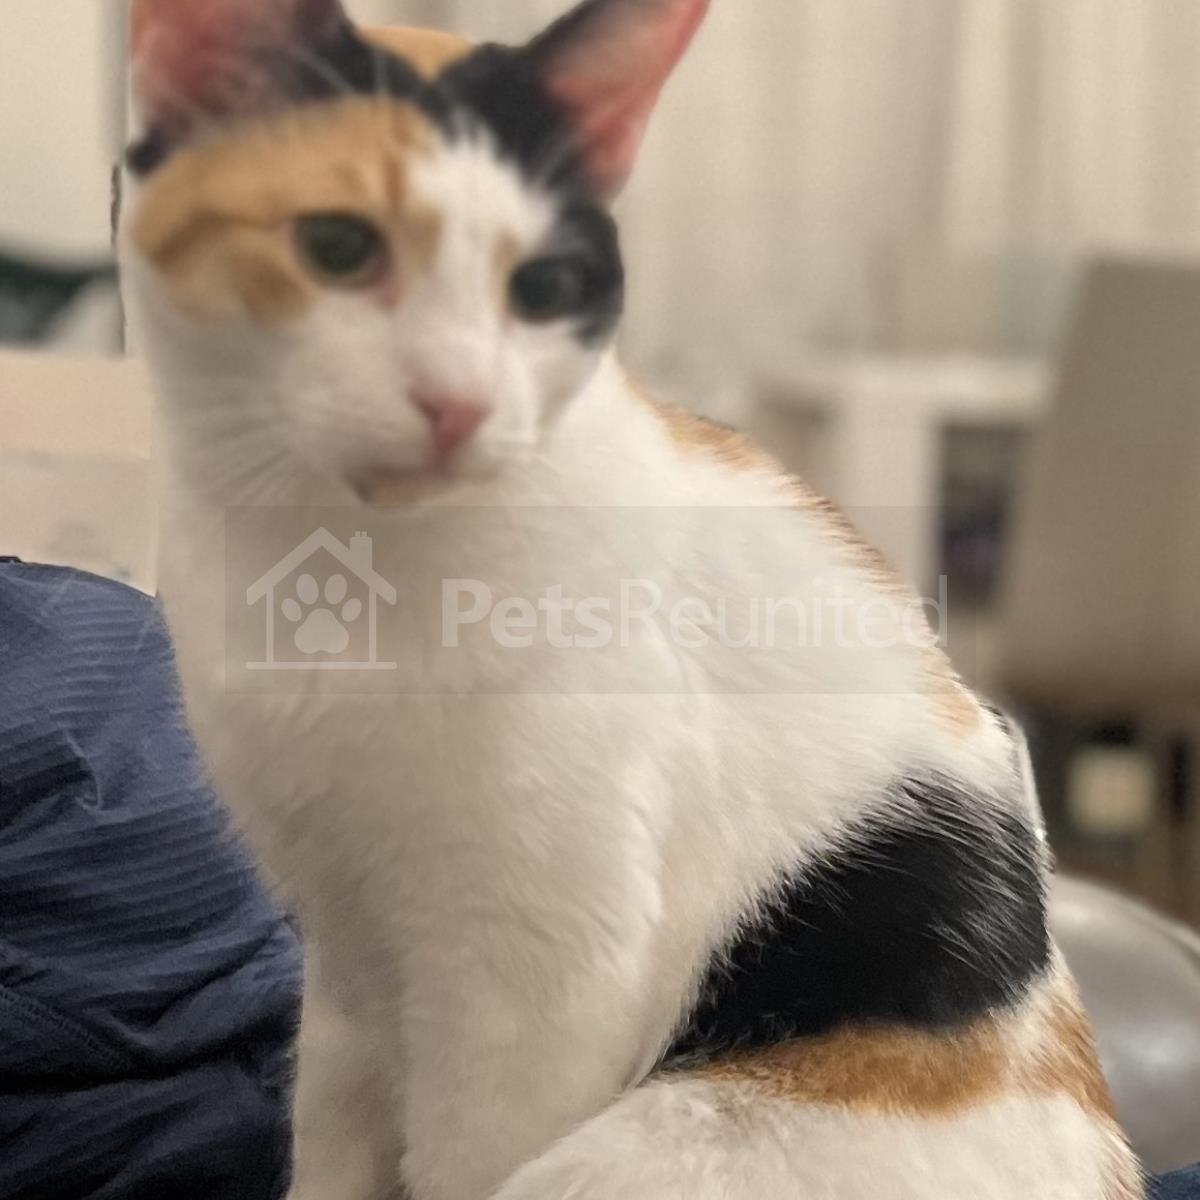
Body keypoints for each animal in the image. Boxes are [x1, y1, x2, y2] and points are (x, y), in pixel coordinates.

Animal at [122, 1, 1143, 1198]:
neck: (335, 567)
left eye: (545, 286)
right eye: (337, 245)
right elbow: (329, 1143)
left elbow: (461, 1154)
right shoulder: (347, 957)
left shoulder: (535, 976)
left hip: (640, 1143)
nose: (458, 403)